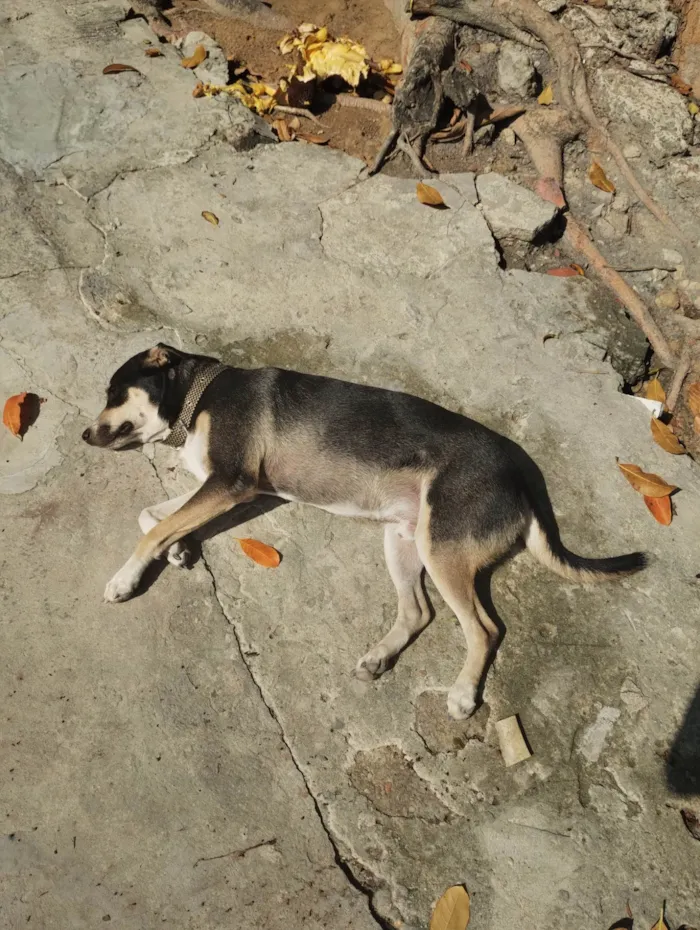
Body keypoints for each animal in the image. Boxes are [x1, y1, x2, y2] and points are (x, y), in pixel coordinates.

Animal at [83, 344, 644, 716]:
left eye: (113, 392)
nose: (84, 435)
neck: (201, 395)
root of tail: (522, 477)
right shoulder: (237, 489)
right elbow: (153, 516)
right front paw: (180, 550)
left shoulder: (232, 482)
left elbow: (150, 529)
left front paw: (126, 578)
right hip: (404, 539)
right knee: (419, 612)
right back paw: (379, 658)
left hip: (442, 548)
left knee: (485, 629)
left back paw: (463, 694)